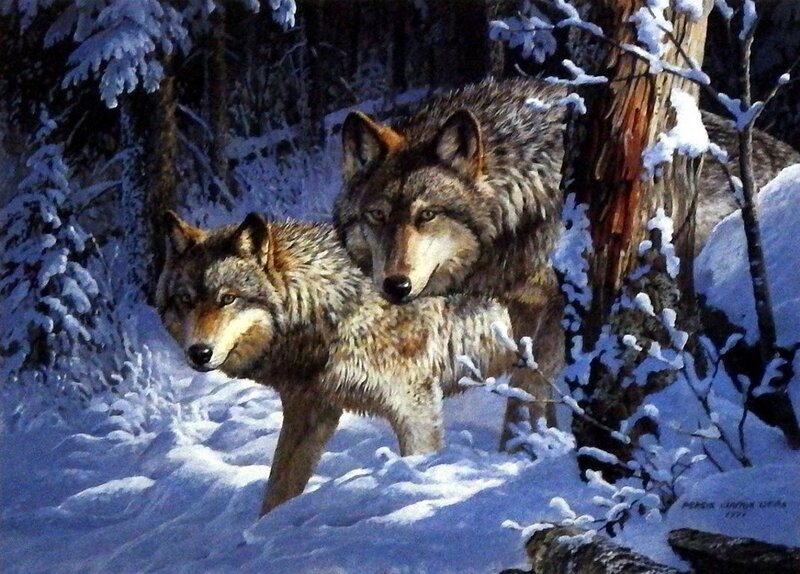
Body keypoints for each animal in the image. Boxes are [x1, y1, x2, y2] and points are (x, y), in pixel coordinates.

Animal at [156, 211, 515, 515]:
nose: (198, 353)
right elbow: (277, 491)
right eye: (186, 300)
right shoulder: (309, 413)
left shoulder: (416, 408)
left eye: (228, 299)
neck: (332, 308)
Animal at [333, 78, 800, 442]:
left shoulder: (563, 305)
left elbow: (528, 389)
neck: (524, 192)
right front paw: (545, 443)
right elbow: (534, 387)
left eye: (426, 215)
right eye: (377, 217)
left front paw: (522, 453)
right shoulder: (523, 306)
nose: (395, 286)